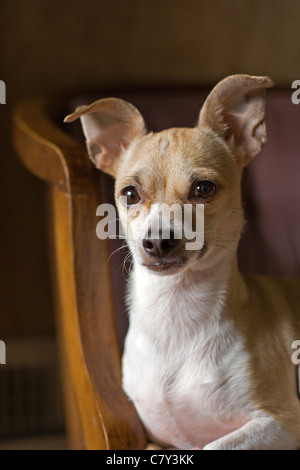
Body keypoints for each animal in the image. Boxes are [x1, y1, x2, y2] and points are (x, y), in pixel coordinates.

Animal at [64, 75, 300, 450]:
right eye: (130, 194)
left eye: (204, 189)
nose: (158, 240)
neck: (175, 312)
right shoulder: (153, 438)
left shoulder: (282, 422)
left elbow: (213, 445)